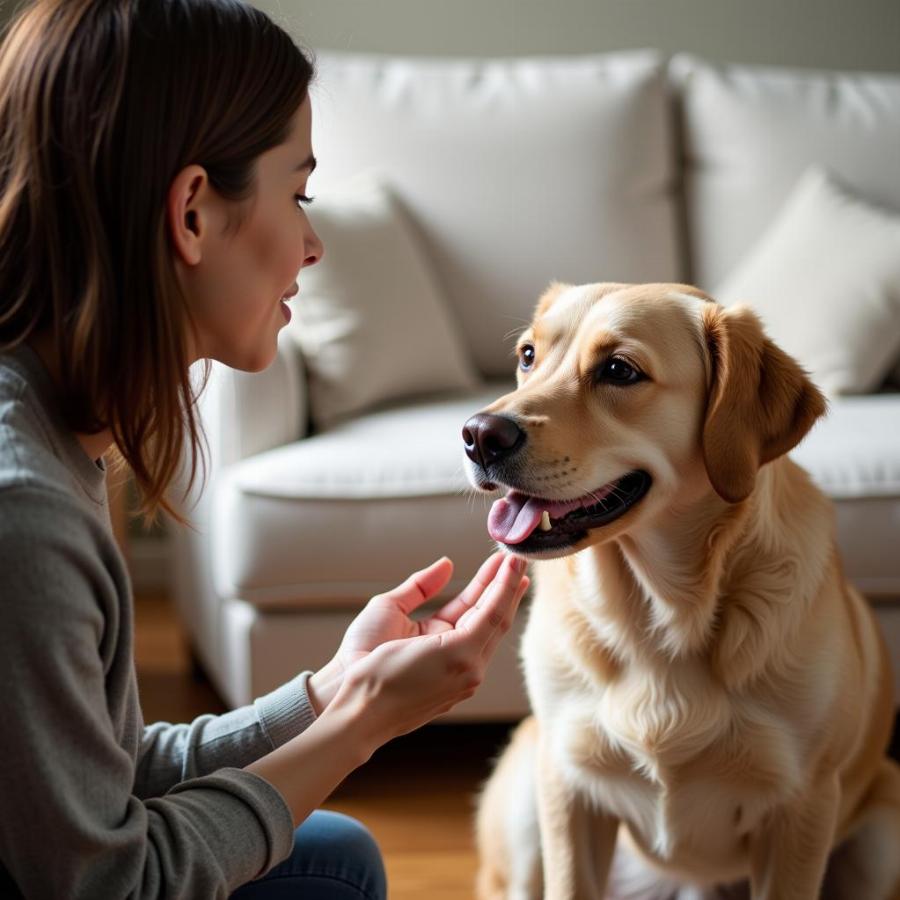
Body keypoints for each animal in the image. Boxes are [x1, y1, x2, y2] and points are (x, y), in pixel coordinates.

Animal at [464, 284, 900, 900]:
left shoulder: (803, 806)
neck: (660, 613)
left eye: (619, 370)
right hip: (528, 797)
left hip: (884, 831)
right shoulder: (568, 789)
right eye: (528, 355)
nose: (478, 434)